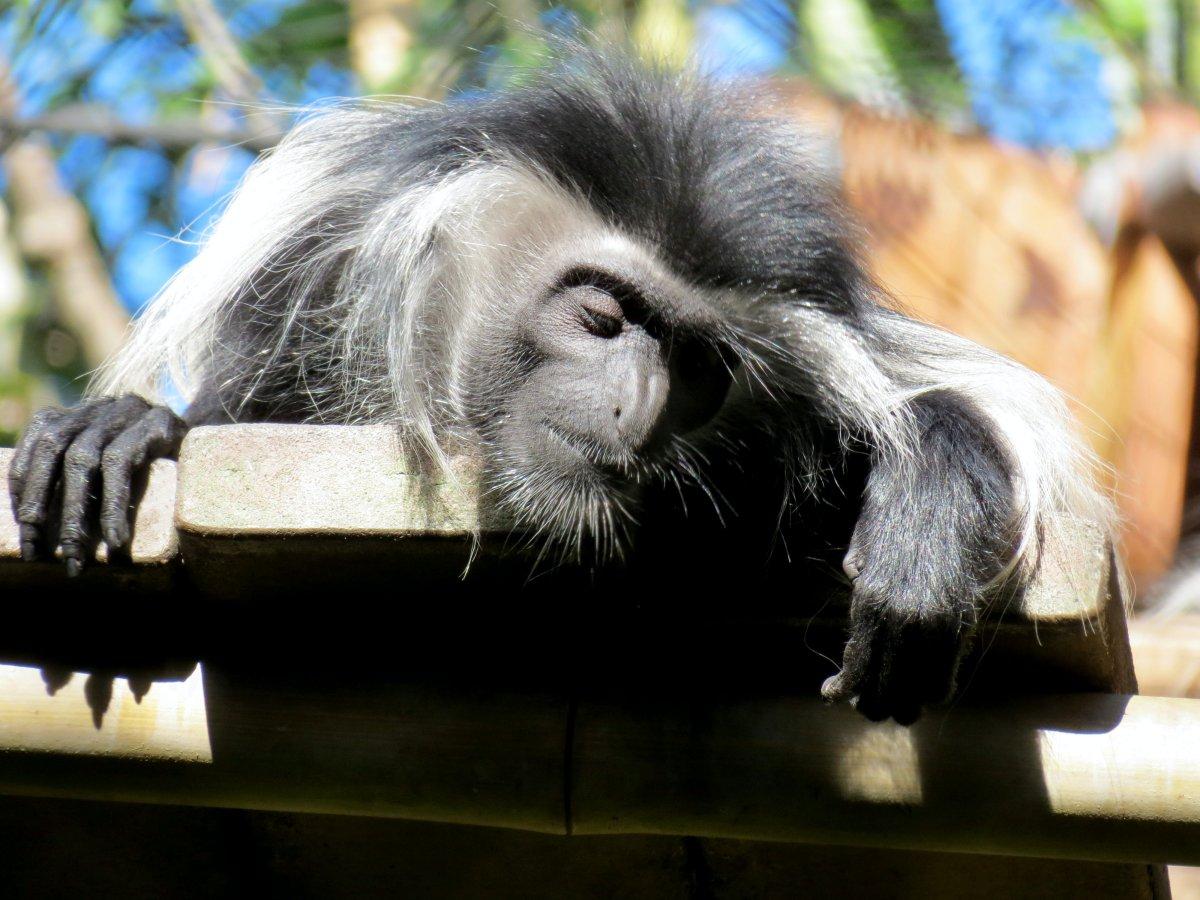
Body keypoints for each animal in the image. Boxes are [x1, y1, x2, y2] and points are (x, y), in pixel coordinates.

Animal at [7, 51, 1104, 724]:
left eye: (699, 371)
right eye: (603, 320)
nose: (636, 408)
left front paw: (928, 516)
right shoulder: (308, 294)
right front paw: (124, 431)